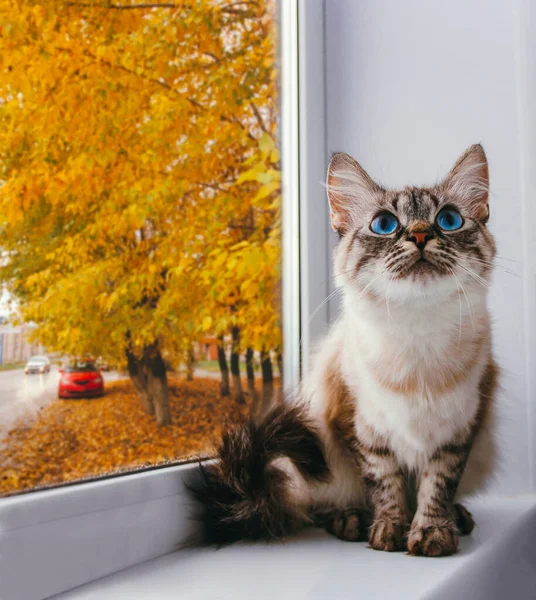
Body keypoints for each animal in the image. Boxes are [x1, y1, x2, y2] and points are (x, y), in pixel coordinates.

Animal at [189, 144, 498, 556]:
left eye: (448, 220)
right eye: (384, 224)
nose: (419, 235)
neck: (417, 335)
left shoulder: (458, 433)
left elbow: (435, 489)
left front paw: (431, 533)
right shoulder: (360, 428)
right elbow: (386, 486)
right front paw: (389, 532)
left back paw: (459, 519)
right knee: (317, 506)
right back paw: (351, 521)